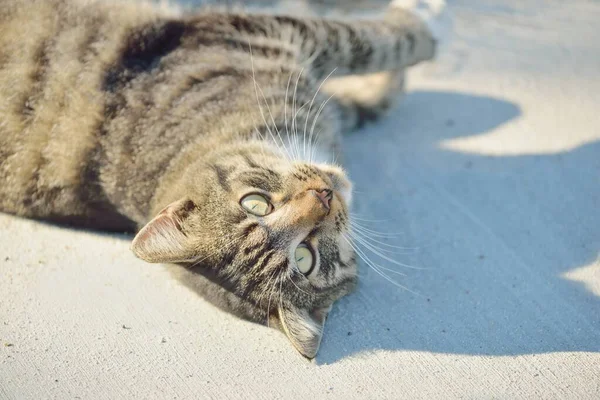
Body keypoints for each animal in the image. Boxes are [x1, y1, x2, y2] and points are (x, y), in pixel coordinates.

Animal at [0, 0, 446, 356]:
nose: (323, 196)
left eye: (255, 203)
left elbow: (361, 95)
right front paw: (425, 22)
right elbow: (378, 42)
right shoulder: (260, 31)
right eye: (305, 258)